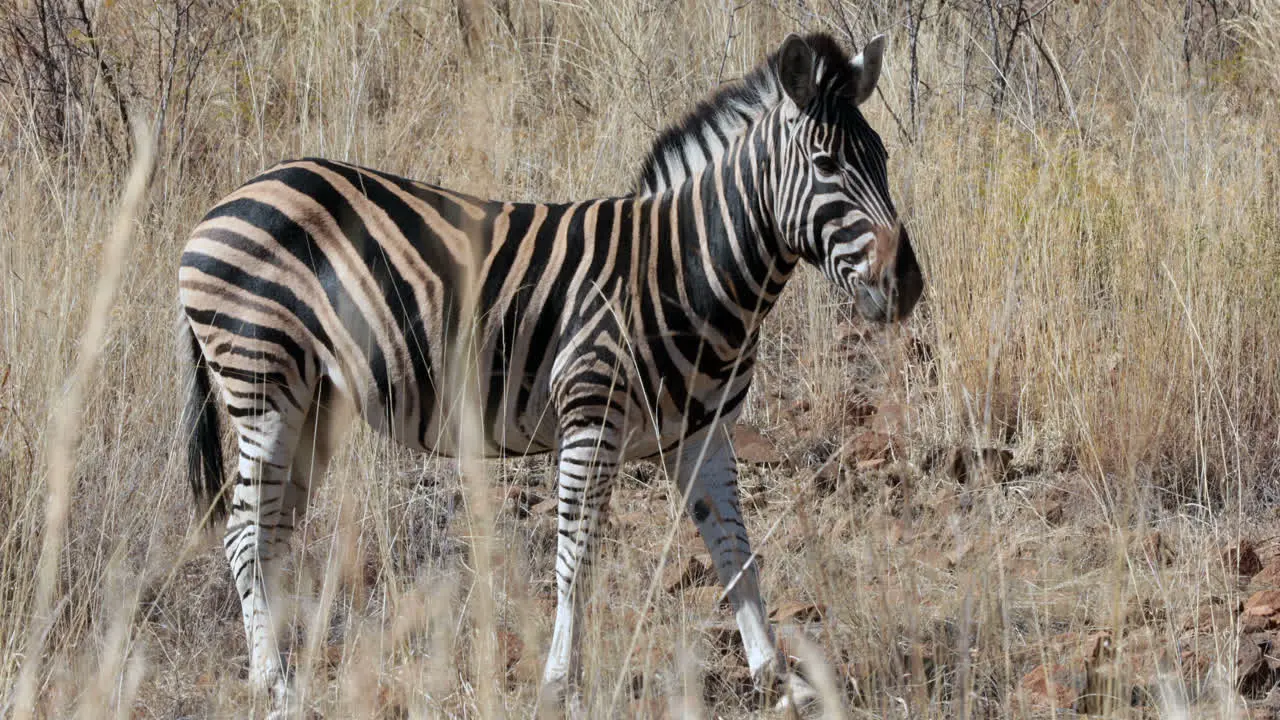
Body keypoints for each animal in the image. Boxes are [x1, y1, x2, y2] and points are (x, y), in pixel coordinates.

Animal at [177, 30, 921, 707]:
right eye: (826, 163)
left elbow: (735, 553)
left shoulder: (701, 433)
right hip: (260, 382)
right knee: (244, 534)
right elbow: (576, 557)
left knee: (270, 531)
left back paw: (285, 666)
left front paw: (776, 678)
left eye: (883, 158)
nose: (906, 285)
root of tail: (225, 203)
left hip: (314, 405)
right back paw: (273, 683)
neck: (683, 267)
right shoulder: (591, 416)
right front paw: (561, 681)